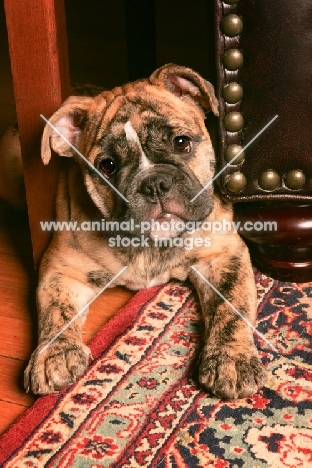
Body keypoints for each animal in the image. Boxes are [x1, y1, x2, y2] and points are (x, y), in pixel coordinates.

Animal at [24, 62, 266, 398]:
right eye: (107, 165)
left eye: (181, 142)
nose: (154, 183)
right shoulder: (62, 268)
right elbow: (55, 310)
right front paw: (53, 354)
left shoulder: (223, 255)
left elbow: (231, 307)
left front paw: (231, 358)